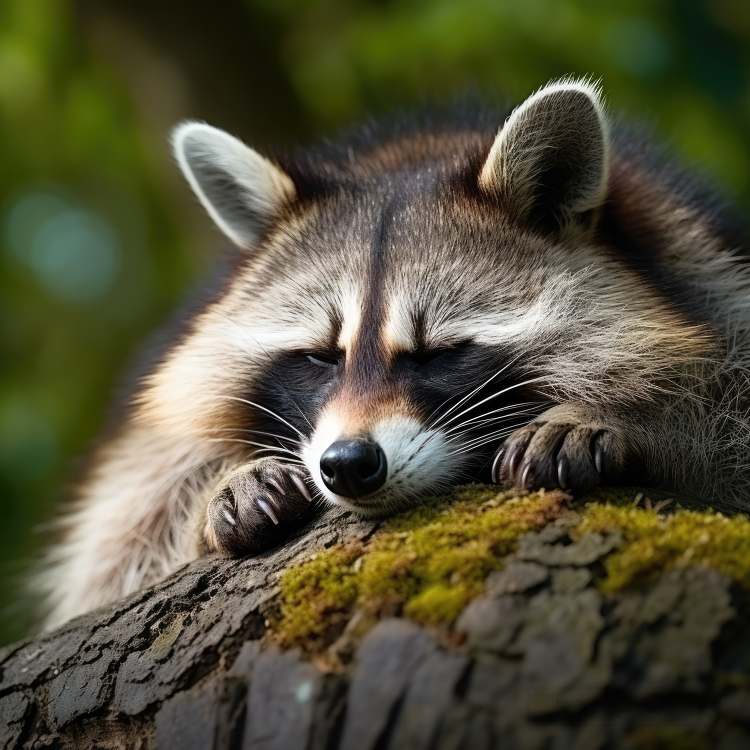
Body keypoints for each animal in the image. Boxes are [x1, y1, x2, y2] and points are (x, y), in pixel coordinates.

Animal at [38, 78, 750, 628]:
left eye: (439, 352)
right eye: (321, 356)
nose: (348, 465)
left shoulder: (708, 273)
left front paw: (638, 415)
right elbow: (115, 548)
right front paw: (221, 486)